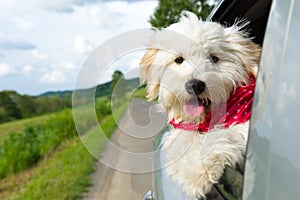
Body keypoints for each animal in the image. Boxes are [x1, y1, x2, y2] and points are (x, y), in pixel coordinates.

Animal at [140, 11, 260, 199]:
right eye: (179, 59)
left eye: (214, 58)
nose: (195, 85)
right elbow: (180, 138)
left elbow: (220, 134)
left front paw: (196, 171)